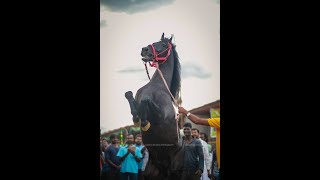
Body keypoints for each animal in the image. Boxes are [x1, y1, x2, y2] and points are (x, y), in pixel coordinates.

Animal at [125, 33, 185, 179]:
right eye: (155, 41)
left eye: (163, 45)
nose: (144, 50)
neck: (157, 86)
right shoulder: (136, 97)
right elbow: (129, 95)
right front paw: (136, 118)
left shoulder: (161, 116)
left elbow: (146, 101)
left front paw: (144, 122)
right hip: (149, 173)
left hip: (176, 172)